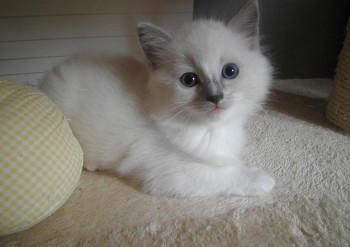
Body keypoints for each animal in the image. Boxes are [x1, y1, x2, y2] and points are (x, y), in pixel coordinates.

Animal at [39, 0, 274, 197]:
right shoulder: (172, 172)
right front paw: (263, 179)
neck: (211, 128)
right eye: (189, 80)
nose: (215, 97)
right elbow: (228, 173)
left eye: (230, 71)